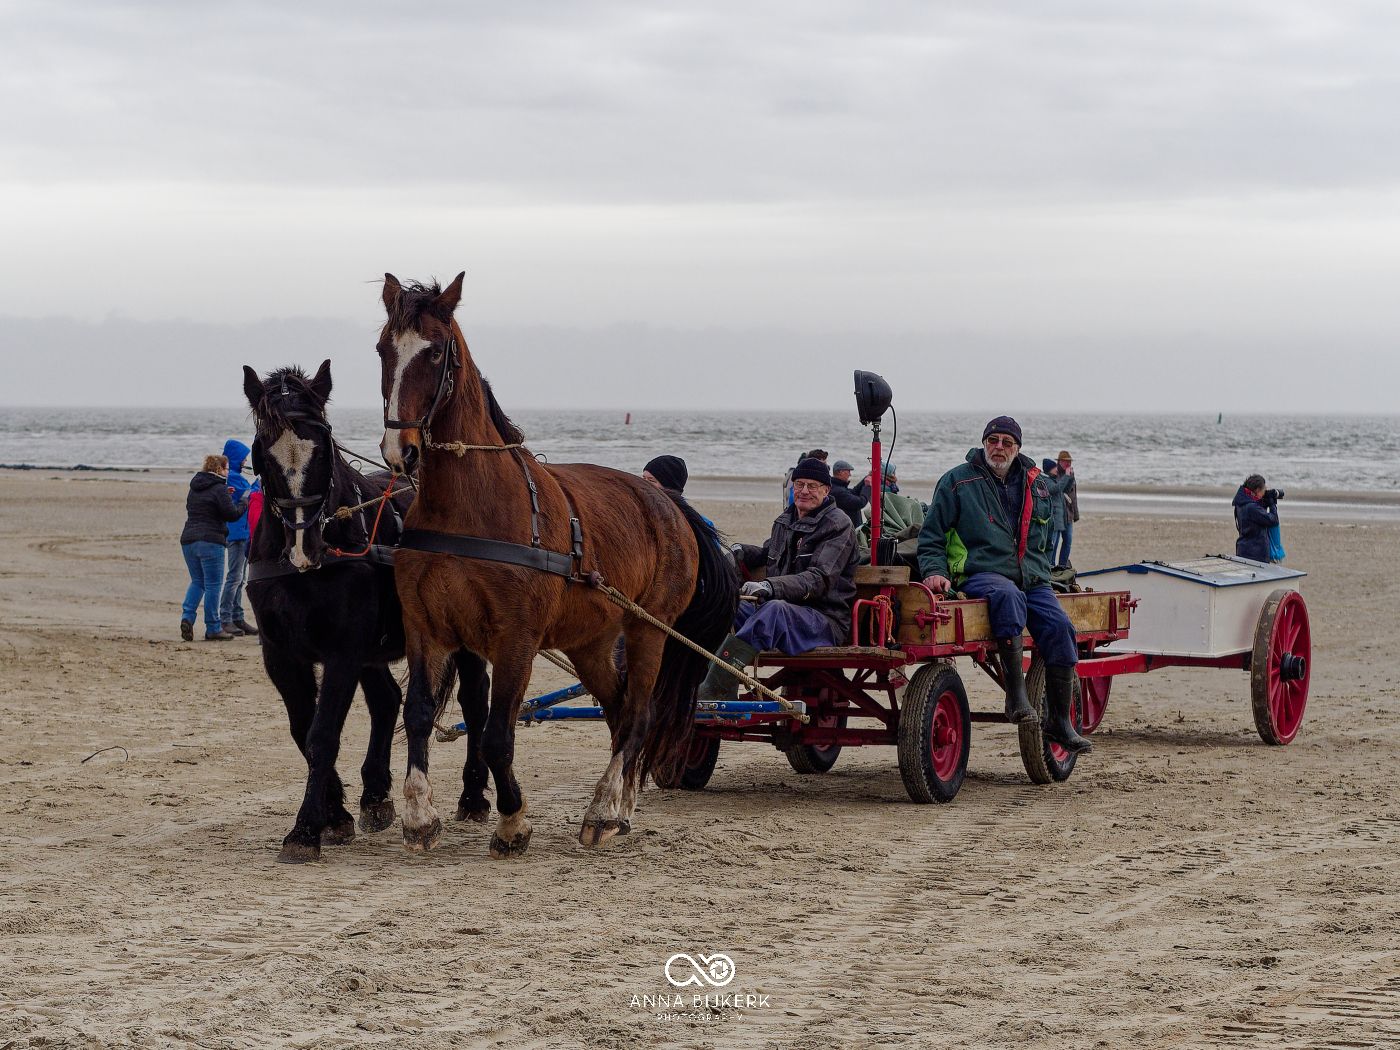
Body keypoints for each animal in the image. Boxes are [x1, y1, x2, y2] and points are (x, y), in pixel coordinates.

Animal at [242, 360, 492, 864]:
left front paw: (305, 829)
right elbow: (302, 729)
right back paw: (376, 795)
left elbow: (322, 735)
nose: (305, 548)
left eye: (322, 447)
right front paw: (334, 813)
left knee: (476, 703)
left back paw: (473, 795)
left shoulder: (342, 652)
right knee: (387, 701)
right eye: (264, 452)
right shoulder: (282, 654)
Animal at [374, 272, 737, 858]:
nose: (398, 451)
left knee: (638, 714)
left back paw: (603, 810)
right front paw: (420, 815)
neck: (469, 506)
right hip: (589, 641)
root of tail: (668, 503)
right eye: (385, 349)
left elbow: (498, 736)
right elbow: (420, 714)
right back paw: (622, 807)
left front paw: (512, 821)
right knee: (618, 711)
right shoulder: (425, 627)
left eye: (434, 352)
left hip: (648, 630)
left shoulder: (515, 637)